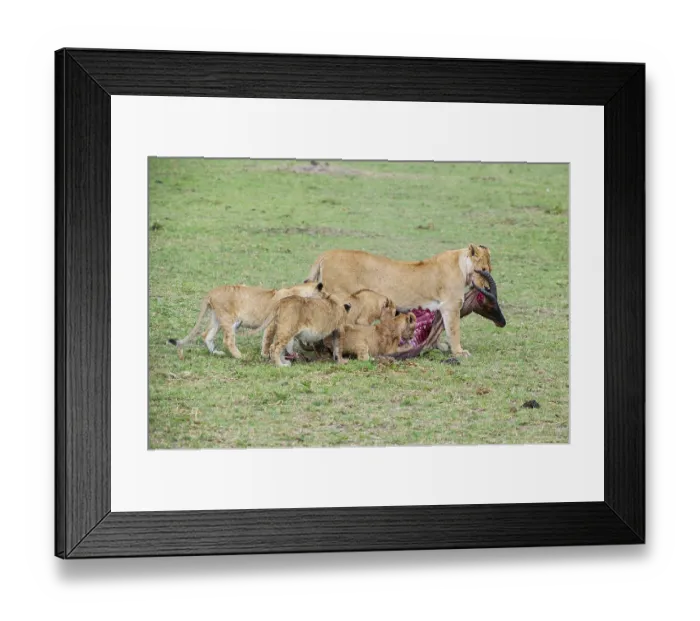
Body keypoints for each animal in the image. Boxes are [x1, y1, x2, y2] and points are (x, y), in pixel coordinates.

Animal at [168, 281, 324, 360]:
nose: (327, 299)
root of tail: (212, 292)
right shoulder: (272, 323)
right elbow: (268, 339)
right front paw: (265, 354)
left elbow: (288, 342)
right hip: (230, 319)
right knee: (228, 340)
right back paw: (240, 356)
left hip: (218, 317)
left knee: (206, 335)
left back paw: (216, 353)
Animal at [305, 245, 493, 357]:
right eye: (483, 270)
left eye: (490, 269)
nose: (488, 289)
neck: (462, 266)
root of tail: (326, 254)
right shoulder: (451, 306)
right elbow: (454, 331)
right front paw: (459, 352)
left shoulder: (441, 307)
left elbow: (438, 329)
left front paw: (438, 346)